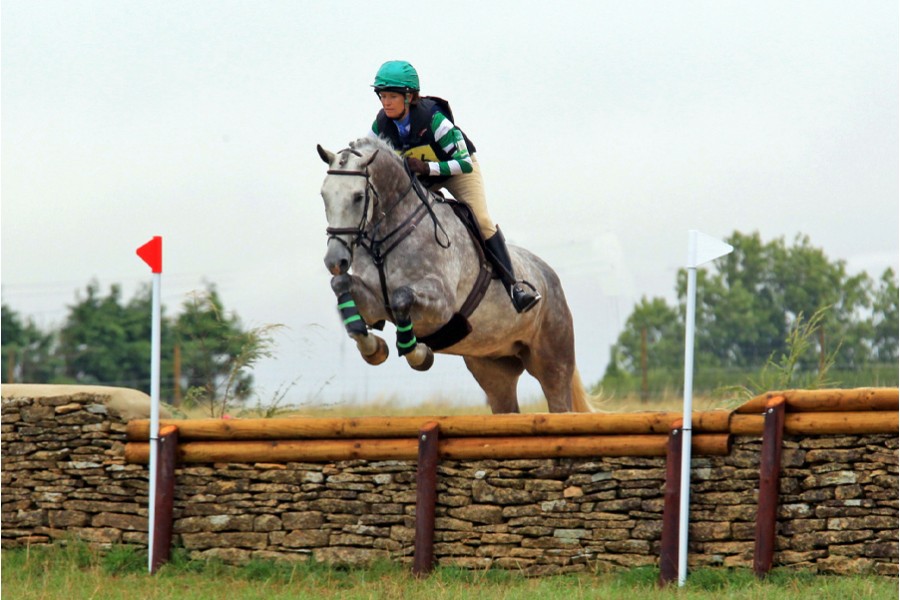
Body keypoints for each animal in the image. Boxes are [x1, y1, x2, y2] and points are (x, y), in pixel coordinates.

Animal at [320, 137, 596, 412]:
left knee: (560, 402)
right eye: (324, 195)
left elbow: (401, 297)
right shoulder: (377, 304)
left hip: (552, 361)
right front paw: (373, 348)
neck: (387, 235)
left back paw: (523, 296)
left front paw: (419, 355)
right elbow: (341, 285)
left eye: (358, 197)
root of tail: (549, 275)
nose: (335, 260)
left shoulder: (441, 306)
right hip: (493, 368)